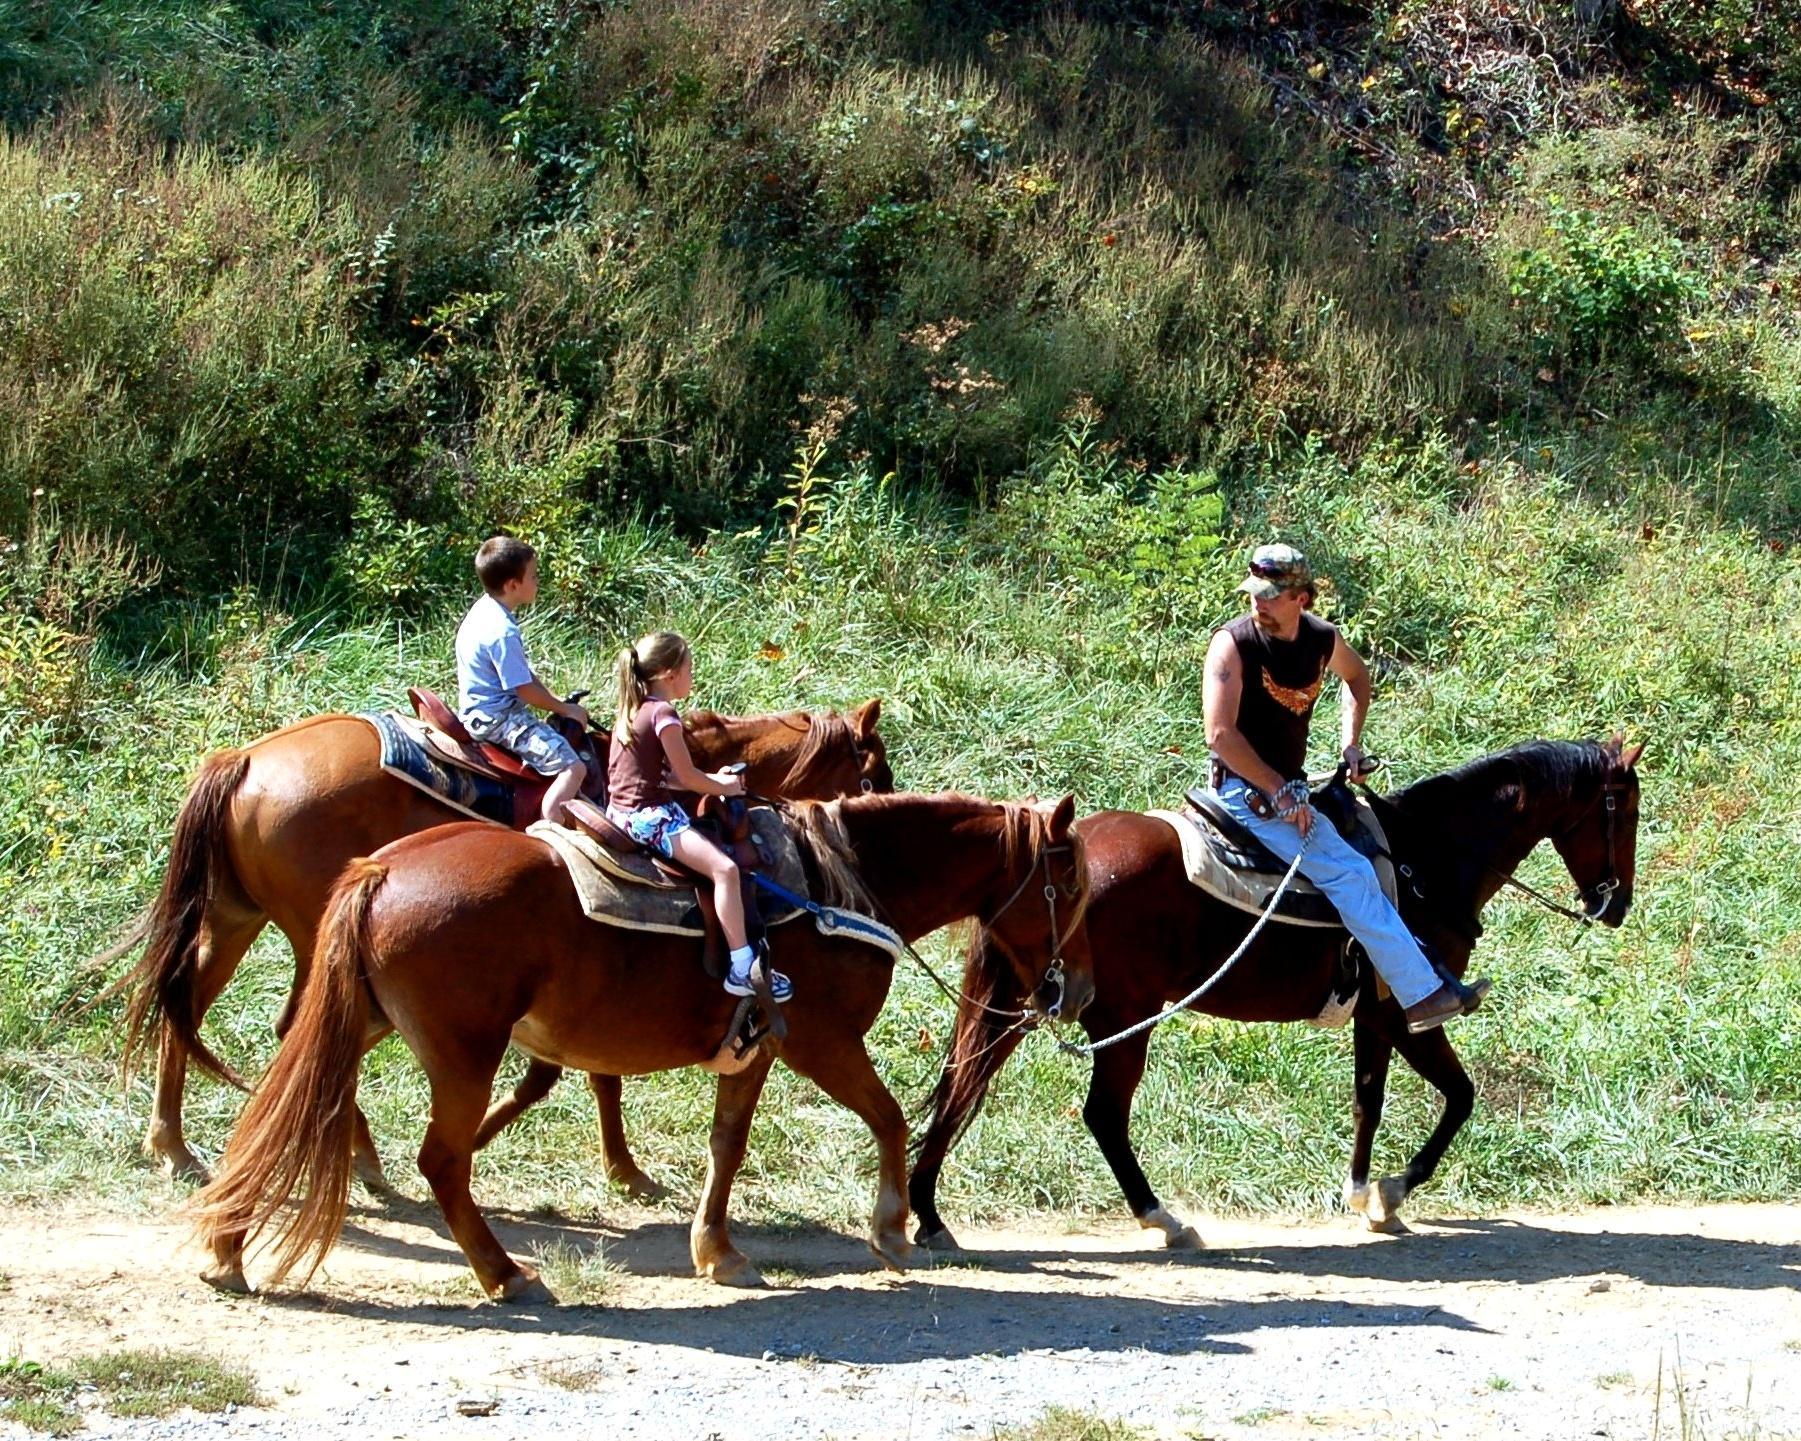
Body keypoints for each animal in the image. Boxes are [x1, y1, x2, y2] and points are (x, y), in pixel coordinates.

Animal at [193, 792, 1095, 1296]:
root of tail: (380, 867)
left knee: (280, 1115)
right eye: (1072, 882)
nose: (1076, 990)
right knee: (440, 1160)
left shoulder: (756, 1049)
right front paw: (890, 1227)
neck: (833, 884)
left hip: (358, 1023)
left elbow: (726, 1143)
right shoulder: (822, 1043)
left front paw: (716, 1250)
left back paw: (228, 1249)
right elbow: (888, 1119)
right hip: (462, 1052)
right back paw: (504, 1273)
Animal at [914, 738, 1649, 1246]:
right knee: (1101, 1115)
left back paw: (927, 1211)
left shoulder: (1372, 1020)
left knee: (961, 1082)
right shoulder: (1409, 1012)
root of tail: (1056, 850)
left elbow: (1366, 1101)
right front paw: (1392, 1191)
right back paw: (1163, 1218)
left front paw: (1362, 1192)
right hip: (1123, 1017)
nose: (1613, 905)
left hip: (1033, 1000)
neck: (1425, 857)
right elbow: (1459, 1097)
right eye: (1628, 811)